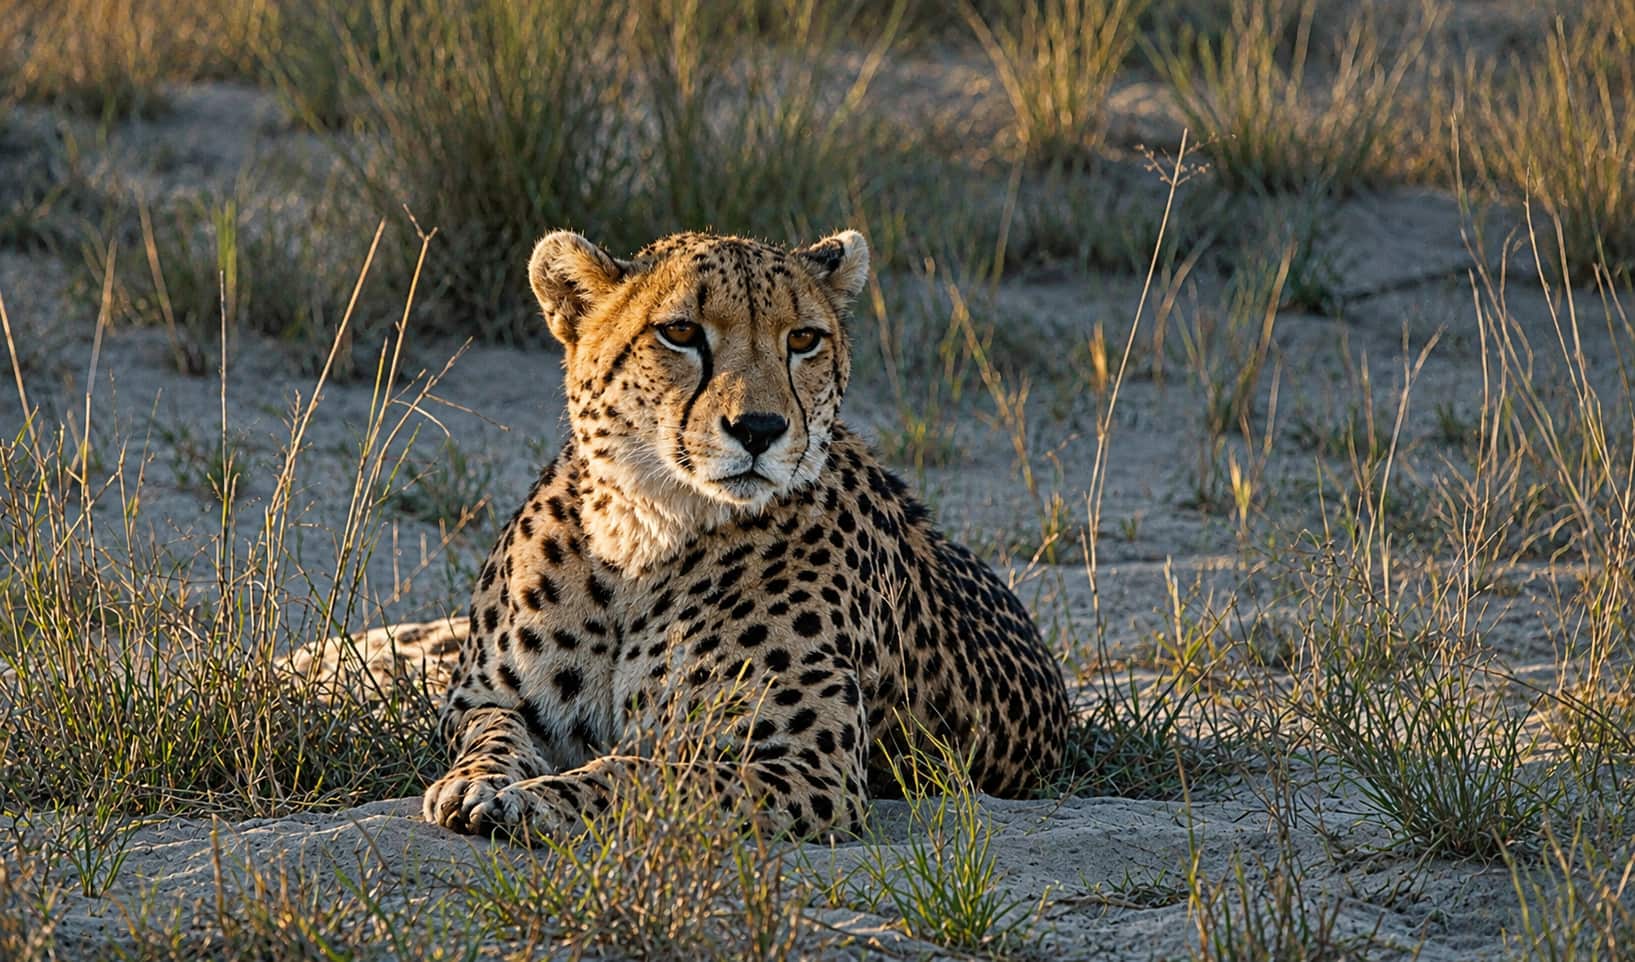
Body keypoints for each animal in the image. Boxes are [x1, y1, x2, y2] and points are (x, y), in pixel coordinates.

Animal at [421, 227, 1071, 841]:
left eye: (803, 339)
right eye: (680, 332)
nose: (759, 428)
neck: (640, 534)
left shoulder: (813, 768)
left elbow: (646, 774)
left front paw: (538, 800)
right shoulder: (483, 699)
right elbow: (495, 735)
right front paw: (477, 782)